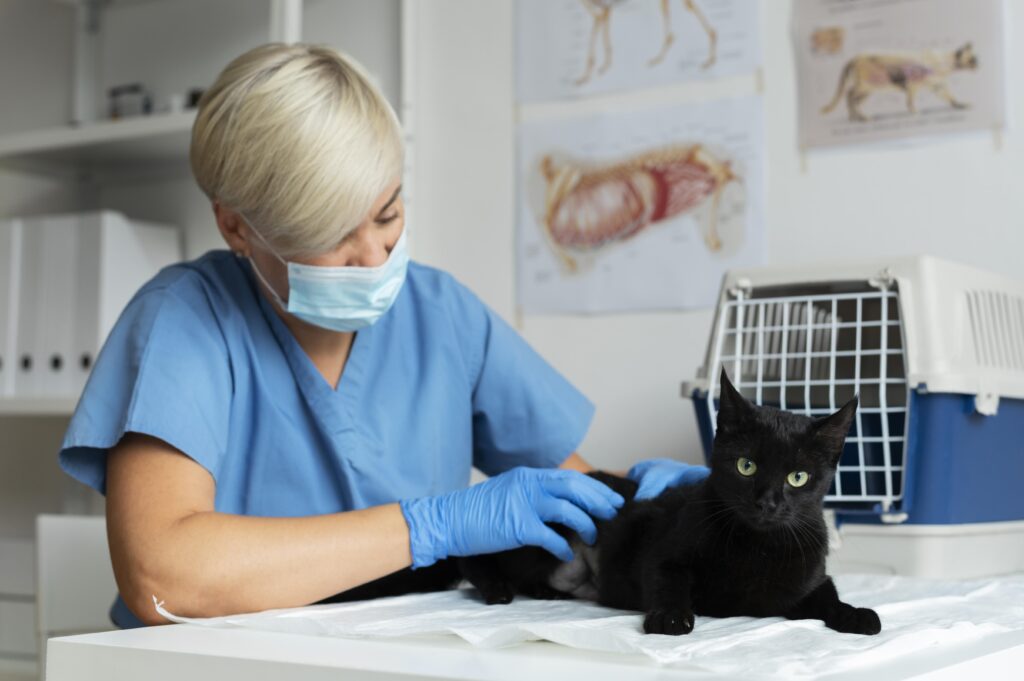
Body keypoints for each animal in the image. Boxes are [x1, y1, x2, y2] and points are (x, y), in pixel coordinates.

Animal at [460, 368, 884, 634]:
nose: (767, 502)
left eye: (798, 477)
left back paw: (547, 591)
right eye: (746, 466)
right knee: (477, 559)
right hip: (545, 531)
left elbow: (829, 596)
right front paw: (670, 617)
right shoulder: (663, 551)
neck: (757, 547)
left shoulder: (808, 583)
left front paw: (856, 615)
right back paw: (497, 587)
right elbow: (670, 580)